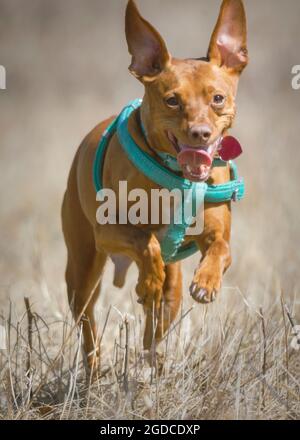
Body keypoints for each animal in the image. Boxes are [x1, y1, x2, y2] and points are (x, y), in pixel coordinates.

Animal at [61, 0, 248, 372]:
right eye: (172, 100)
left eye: (218, 98)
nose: (201, 133)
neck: (178, 177)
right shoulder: (109, 229)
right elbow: (145, 241)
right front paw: (148, 279)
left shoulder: (214, 234)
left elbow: (222, 248)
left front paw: (207, 280)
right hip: (83, 269)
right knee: (88, 325)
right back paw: (94, 370)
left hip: (169, 293)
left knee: (156, 323)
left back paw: (150, 363)